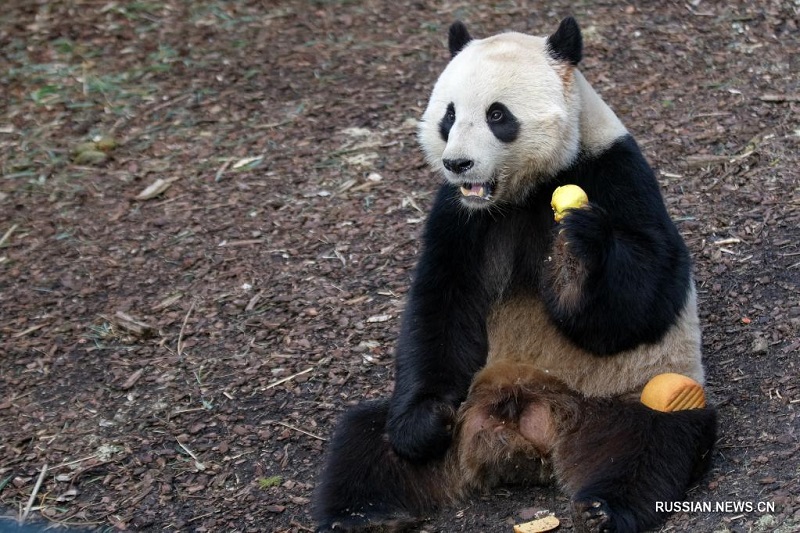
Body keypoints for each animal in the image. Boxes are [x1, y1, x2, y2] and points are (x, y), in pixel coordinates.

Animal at [310, 16, 712, 532]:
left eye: (498, 115)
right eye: (449, 115)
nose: (457, 163)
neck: (519, 193)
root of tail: (525, 428)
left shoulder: (616, 173)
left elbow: (648, 296)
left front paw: (577, 250)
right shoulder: (458, 215)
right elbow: (440, 303)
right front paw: (423, 425)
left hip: (633, 391)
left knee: (651, 442)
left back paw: (604, 508)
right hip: (458, 404)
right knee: (363, 438)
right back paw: (360, 513)